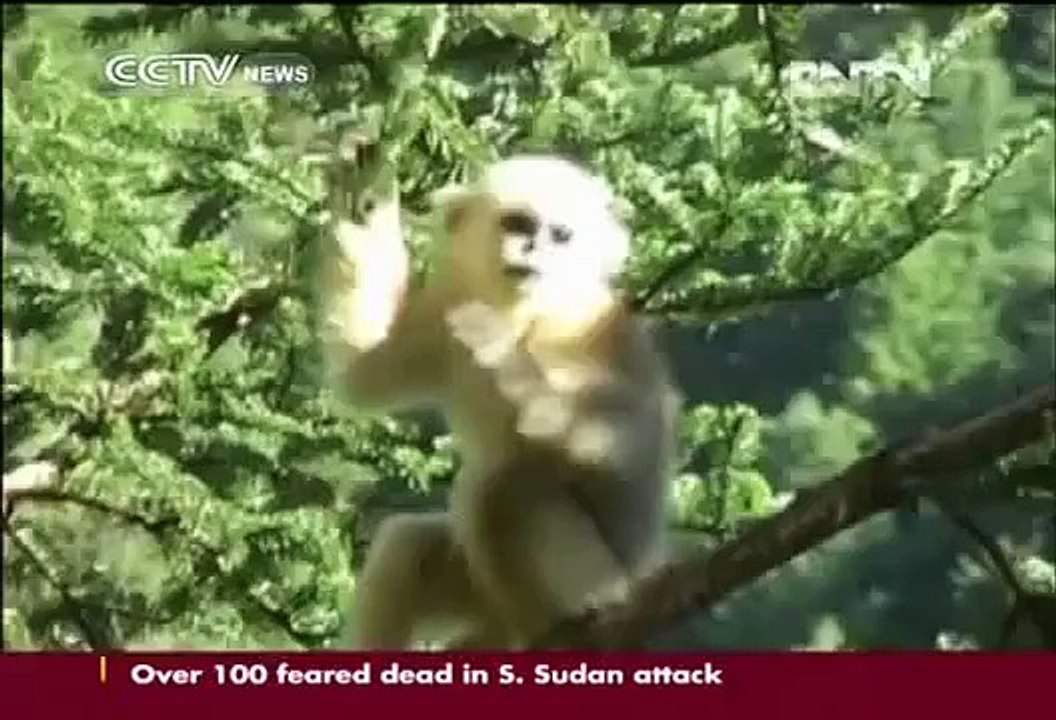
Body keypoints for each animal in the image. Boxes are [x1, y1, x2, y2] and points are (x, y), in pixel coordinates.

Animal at [317, 153, 682, 649]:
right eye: (516, 223)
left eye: (561, 235)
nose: (533, 249)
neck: (522, 313)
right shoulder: (445, 315)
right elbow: (366, 370)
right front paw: (365, 197)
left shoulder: (592, 333)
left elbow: (629, 442)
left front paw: (501, 355)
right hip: (479, 593)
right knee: (408, 549)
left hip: (603, 574)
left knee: (508, 488)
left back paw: (577, 612)